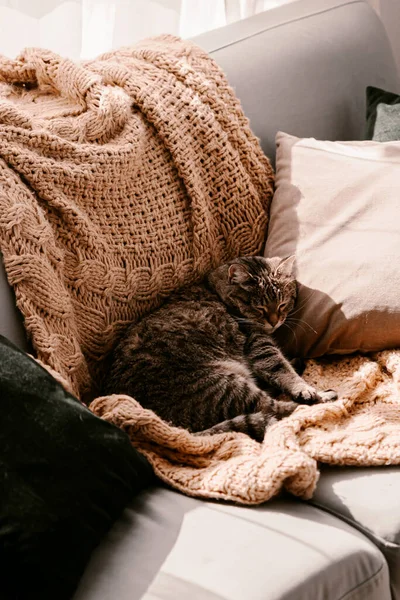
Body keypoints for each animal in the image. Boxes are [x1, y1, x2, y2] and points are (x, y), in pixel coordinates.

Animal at [104, 255, 338, 442]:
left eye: (282, 304)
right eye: (259, 308)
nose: (275, 322)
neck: (215, 289)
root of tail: (172, 427)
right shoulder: (259, 345)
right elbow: (281, 369)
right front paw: (304, 388)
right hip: (223, 385)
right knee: (273, 407)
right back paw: (322, 398)